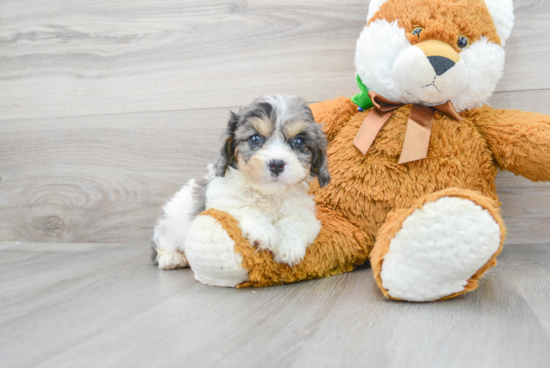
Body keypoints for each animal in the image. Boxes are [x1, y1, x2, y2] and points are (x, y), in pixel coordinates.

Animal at [152, 95, 332, 270]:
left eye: (299, 142)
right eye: (255, 138)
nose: (276, 164)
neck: (267, 193)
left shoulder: (304, 212)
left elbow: (294, 221)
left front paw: (289, 246)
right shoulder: (222, 200)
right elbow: (245, 206)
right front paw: (264, 231)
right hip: (166, 225)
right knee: (162, 245)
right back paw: (171, 258)